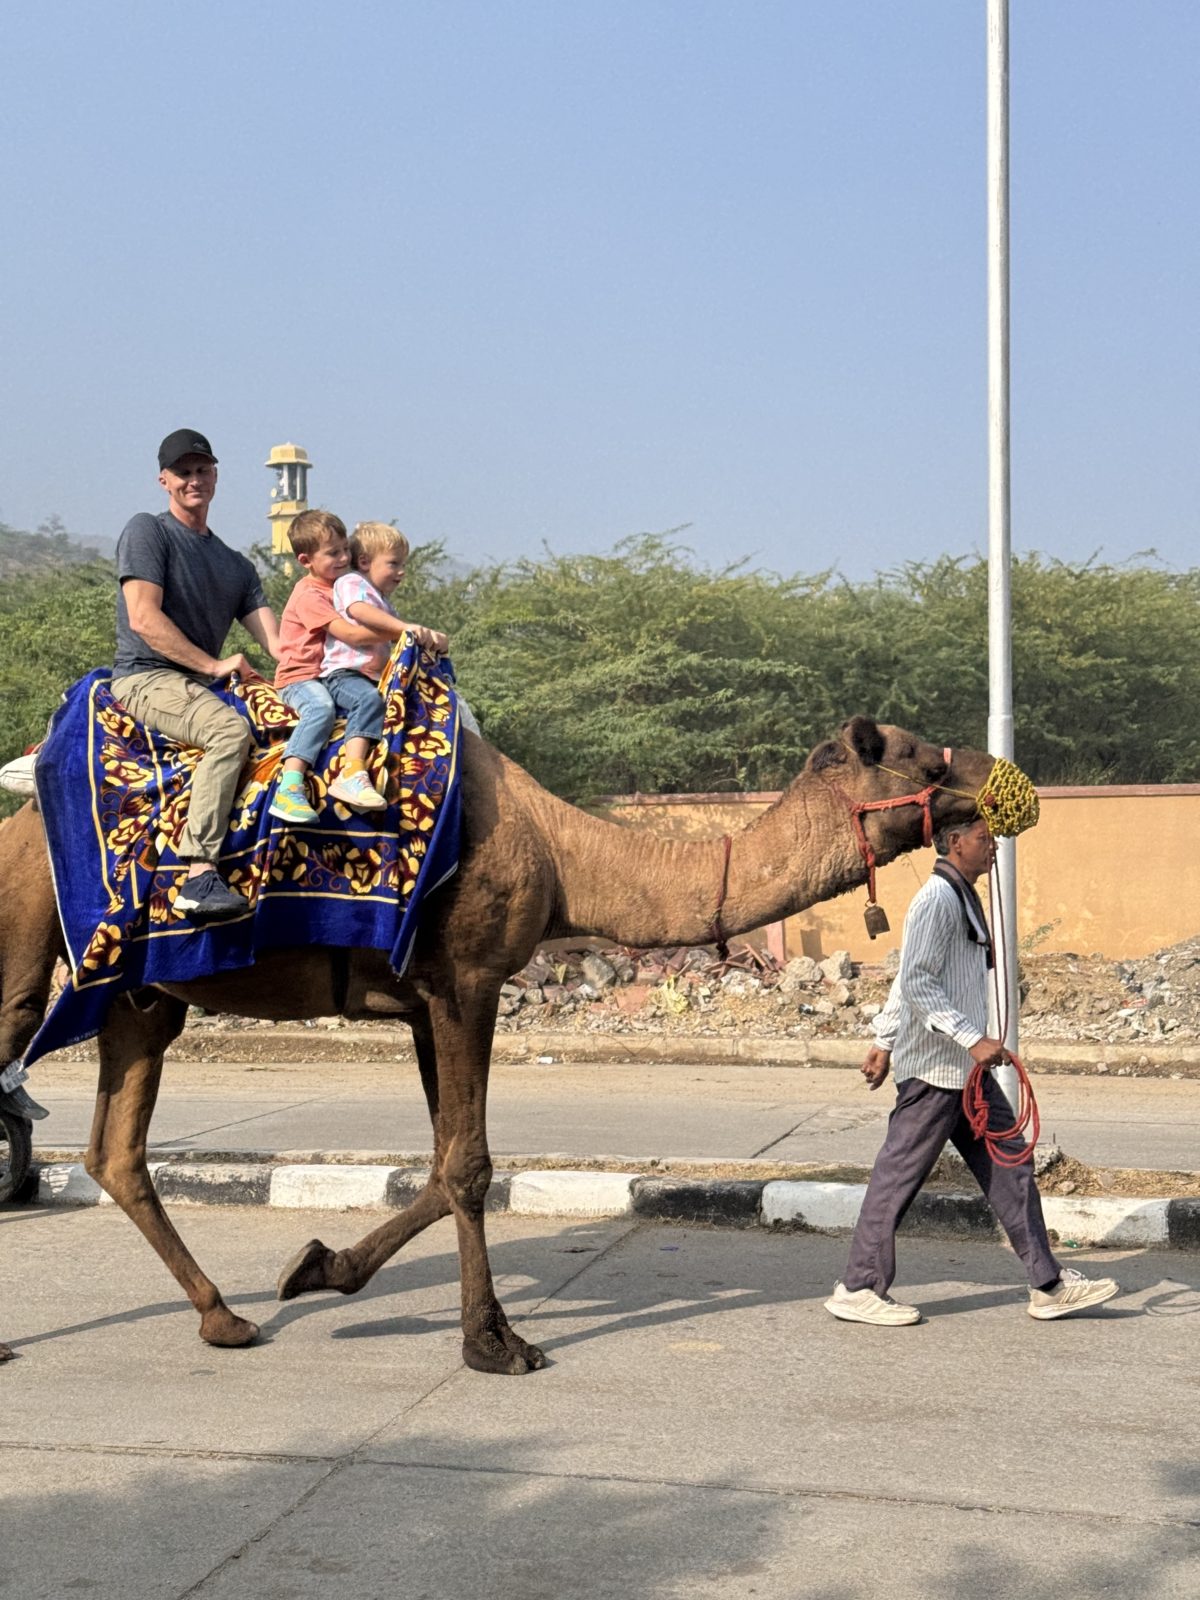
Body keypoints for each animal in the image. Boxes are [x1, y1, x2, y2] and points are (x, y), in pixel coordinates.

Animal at [0, 720, 998, 1369]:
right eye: (917, 751)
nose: (996, 771)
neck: (562, 856)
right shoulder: (468, 979)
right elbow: (470, 1164)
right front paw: (495, 1341)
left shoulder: (421, 1002)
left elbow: (445, 1159)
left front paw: (319, 1268)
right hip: (26, 944)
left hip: (138, 999)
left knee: (116, 1151)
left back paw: (224, 1319)